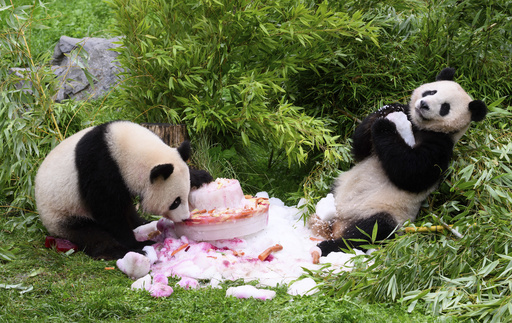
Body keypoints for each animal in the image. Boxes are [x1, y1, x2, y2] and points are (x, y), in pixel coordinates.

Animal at [35, 120, 212, 260]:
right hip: (63, 214)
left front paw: (201, 176)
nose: (184, 218)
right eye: (175, 202)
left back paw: (142, 223)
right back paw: (118, 251)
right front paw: (135, 244)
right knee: (91, 234)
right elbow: (108, 212)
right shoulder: (99, 168)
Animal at [310, 67, 490, 256]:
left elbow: (412, 171)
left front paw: (384, 126)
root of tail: (338, 224)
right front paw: (388, 110)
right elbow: (359, 149)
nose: (423, 104)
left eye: (445, 108)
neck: (418, 127)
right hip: (338, 189)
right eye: (431, 92)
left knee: (369, 233)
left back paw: (325, 248)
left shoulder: (441, 146)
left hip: (383, 211)